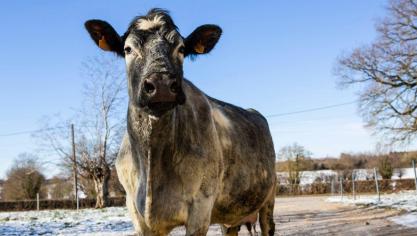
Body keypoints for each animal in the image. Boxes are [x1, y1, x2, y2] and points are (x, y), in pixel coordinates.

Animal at [83, 8, 274, 235]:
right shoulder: (135, 211)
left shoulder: (201, 207)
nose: (162, 84)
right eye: (128, 49)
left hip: (269, 200)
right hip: (230, 217)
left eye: (181, 48)